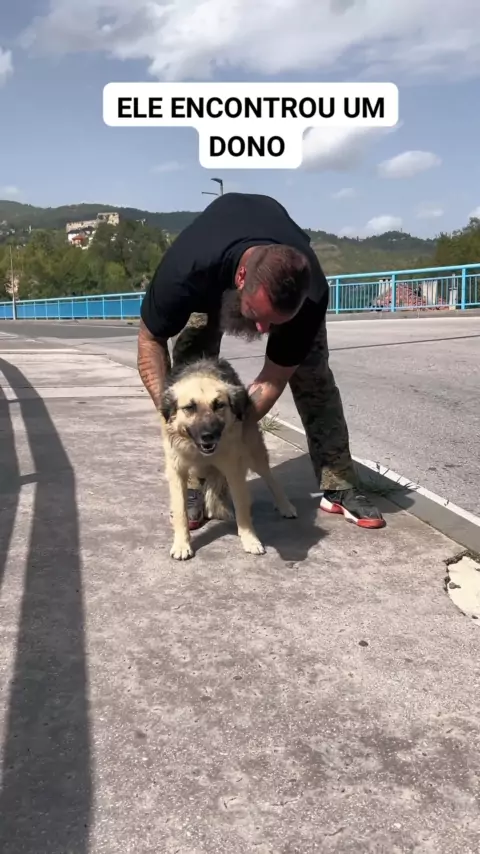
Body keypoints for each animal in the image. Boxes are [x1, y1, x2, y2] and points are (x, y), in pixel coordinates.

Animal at [159, 357, 297, 560]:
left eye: (219, 405)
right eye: (189, 407)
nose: (208, 436)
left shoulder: (234, 469)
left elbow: (242, 508)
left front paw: (250, 539)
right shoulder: (177, 470)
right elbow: (180, 511)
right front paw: (182, 544)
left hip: (254, 453)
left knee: (270, 478)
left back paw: (285, 506)